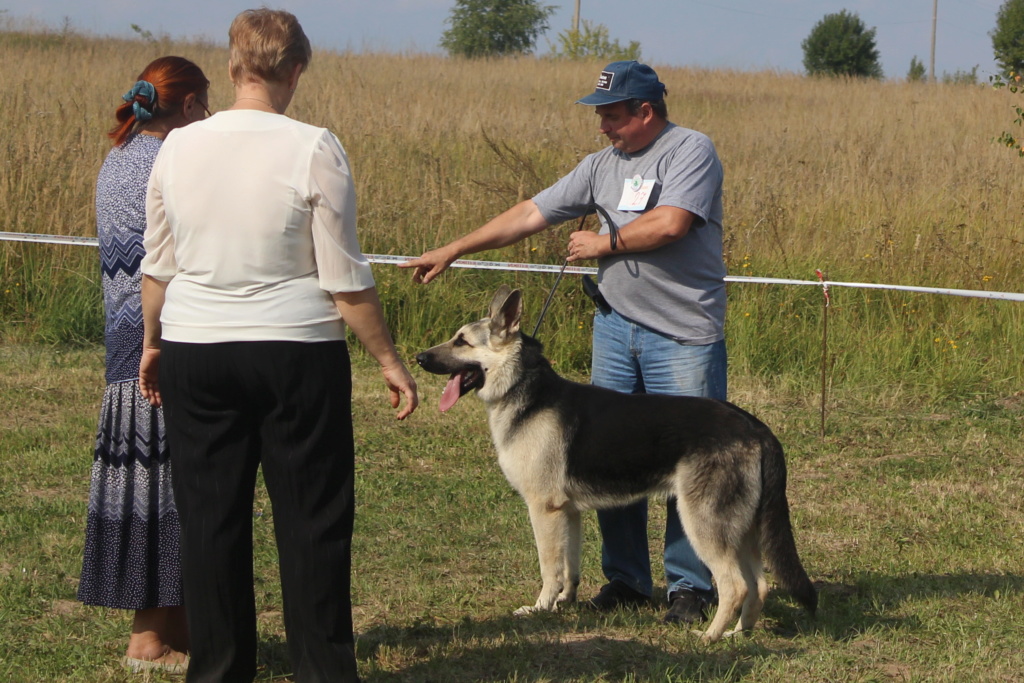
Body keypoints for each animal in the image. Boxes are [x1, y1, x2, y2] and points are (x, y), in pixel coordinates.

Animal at [415, 284, 815, 643]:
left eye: (462, 342)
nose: (419, 359)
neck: (525, 391)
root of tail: (755, 426)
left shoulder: (543, 511)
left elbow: (549, 568)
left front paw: (541, 607)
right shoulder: (568, 513)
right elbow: (569, 568)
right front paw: (565, 601)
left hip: (703, 524)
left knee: (734, 586)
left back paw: (709, 637)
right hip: (741, 529)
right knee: (759, 585)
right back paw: (737, 634)